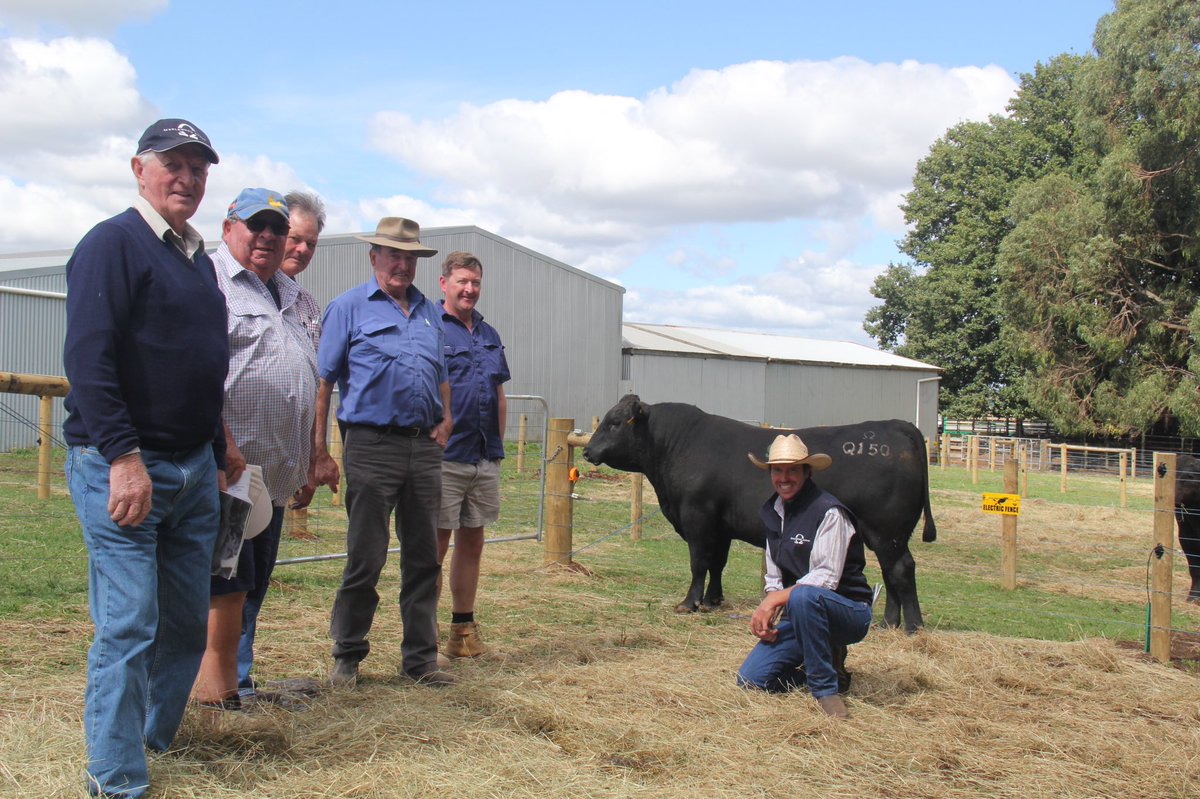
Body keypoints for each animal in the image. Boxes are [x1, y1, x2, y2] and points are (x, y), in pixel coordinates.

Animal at [582, 395, 936, 633]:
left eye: (615, 423)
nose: (587, 451)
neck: (676, 447)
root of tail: (895, 426)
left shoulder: (698, 518)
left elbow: (699, 563)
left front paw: (689, 603)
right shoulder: (721, 527)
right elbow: (717, 564)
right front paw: (712, 600)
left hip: (886, 530)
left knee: (901, 569)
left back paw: (912, 627)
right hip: (884, 535)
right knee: (890, 573)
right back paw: (888, 623)